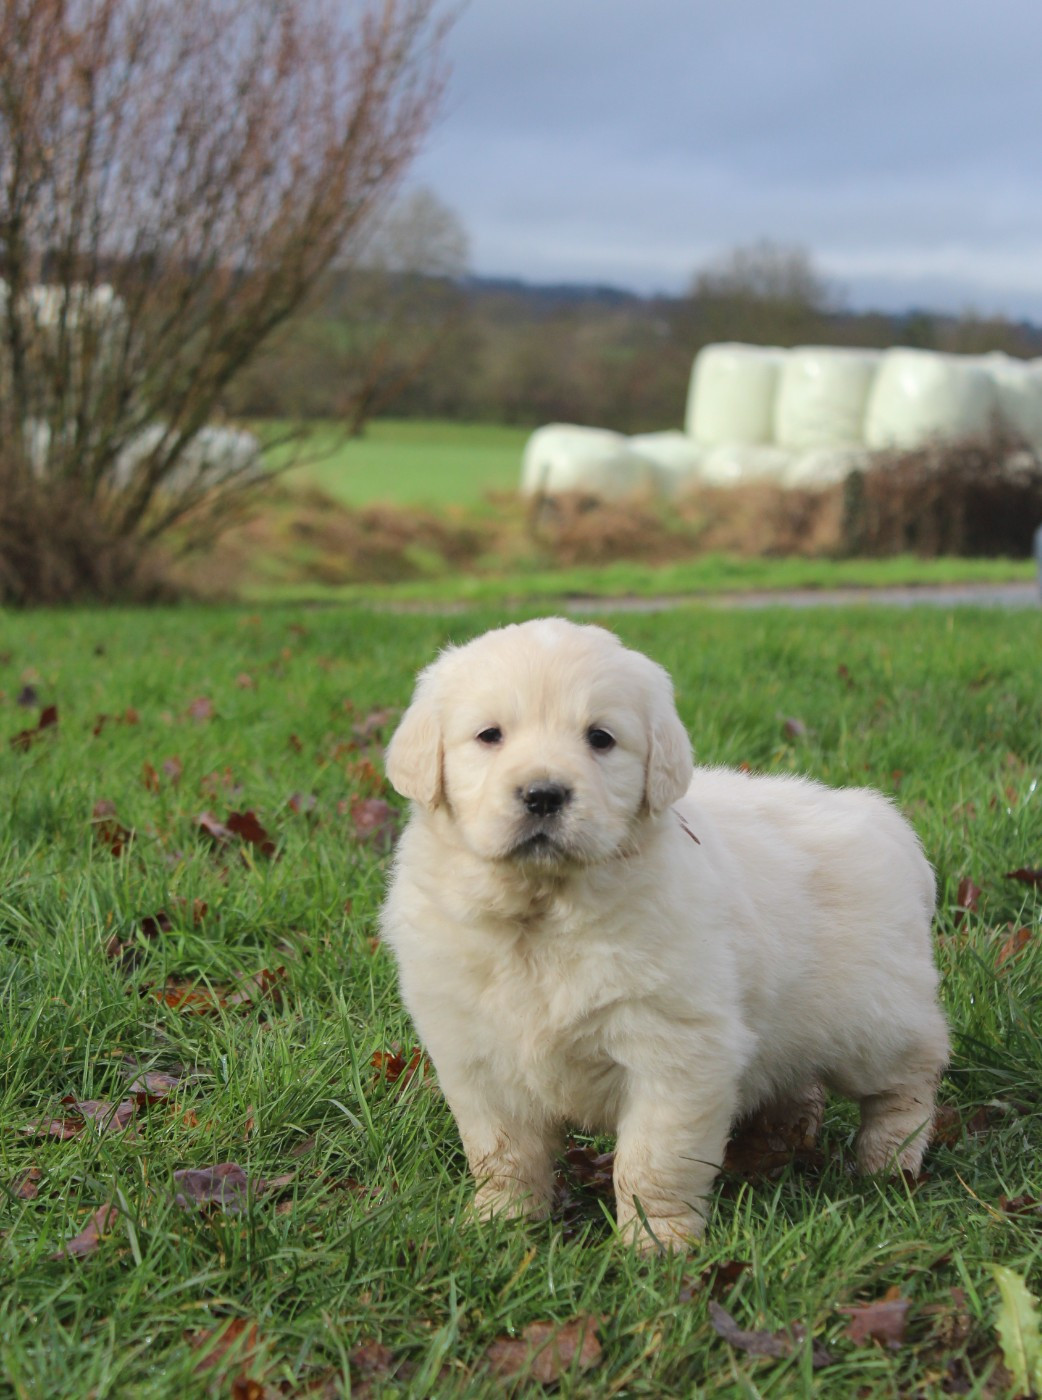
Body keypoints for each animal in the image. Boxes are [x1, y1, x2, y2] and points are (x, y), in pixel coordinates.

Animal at [380, 618, 949, 1251]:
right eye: (489, 736)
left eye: (600, 738)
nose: (544, 794)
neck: (545, 913)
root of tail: (888, 822)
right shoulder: (475, 1052)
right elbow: (502, 1151)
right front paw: (501, 1225)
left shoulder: (676, 1051)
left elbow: (652, 1161)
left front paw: (657, 1245)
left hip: (872, 1019)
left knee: (910, 1076)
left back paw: (888, 1163)